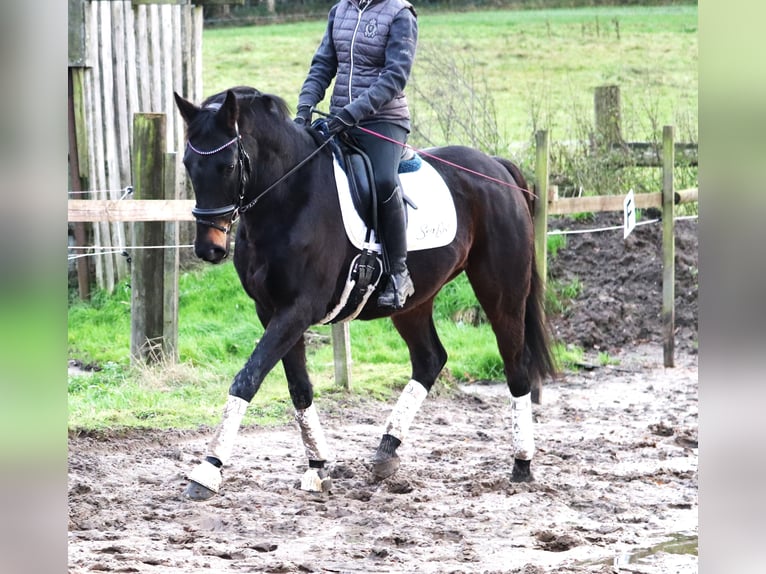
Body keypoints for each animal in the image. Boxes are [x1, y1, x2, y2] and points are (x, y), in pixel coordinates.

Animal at [174, 86, 560, 504]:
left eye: (228, 165)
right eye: (188, 163)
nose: (209, 248)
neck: (290, 198)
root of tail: (495, 167)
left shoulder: (297, 310)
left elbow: (248, 378)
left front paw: (207, 470)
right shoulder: (271, 310)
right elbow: (299, 388)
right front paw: (317, 468)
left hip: (502, 290)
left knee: (516, 366)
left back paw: (521, 464)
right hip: (413, 303)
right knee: (430, 360)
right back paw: (386, 452)